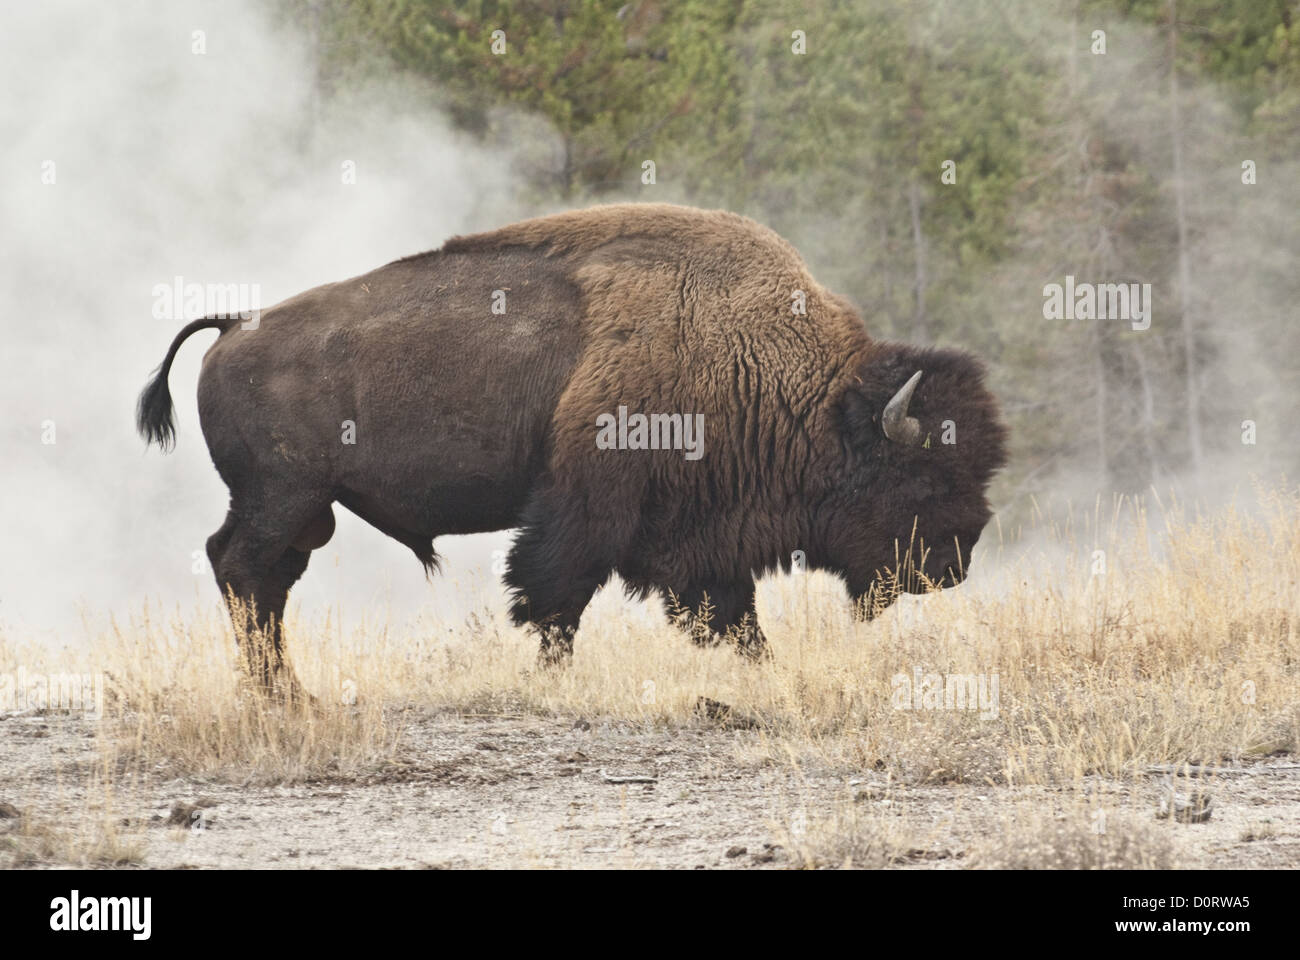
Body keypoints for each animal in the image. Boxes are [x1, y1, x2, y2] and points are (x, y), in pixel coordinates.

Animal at [137, 204, 1008, 697]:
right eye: (921, 476)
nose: (957, 561)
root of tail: (234, 327)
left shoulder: (700, 542)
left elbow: (730, 618)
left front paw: (763, 671)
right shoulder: (591, 510)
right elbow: (557, 600)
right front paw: (549, 680)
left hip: (298, 511)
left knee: (259, 579)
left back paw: (290, 693)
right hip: (283, 499)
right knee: (246, 572)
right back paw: (282, 696)